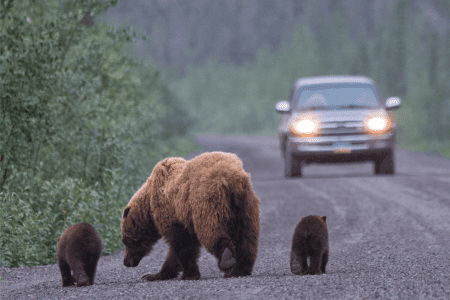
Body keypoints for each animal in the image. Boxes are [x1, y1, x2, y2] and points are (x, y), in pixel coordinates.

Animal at [121, 151, 260, 280]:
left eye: (125, 240)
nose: (126, 262)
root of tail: (232, 178)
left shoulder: (171, 210)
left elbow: (182, 243)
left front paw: (188, 274)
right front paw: (155, 275)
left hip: (206, 200)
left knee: (210, 230)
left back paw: (227, 259)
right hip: (245, 206)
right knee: (247, 236)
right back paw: (240, 269)